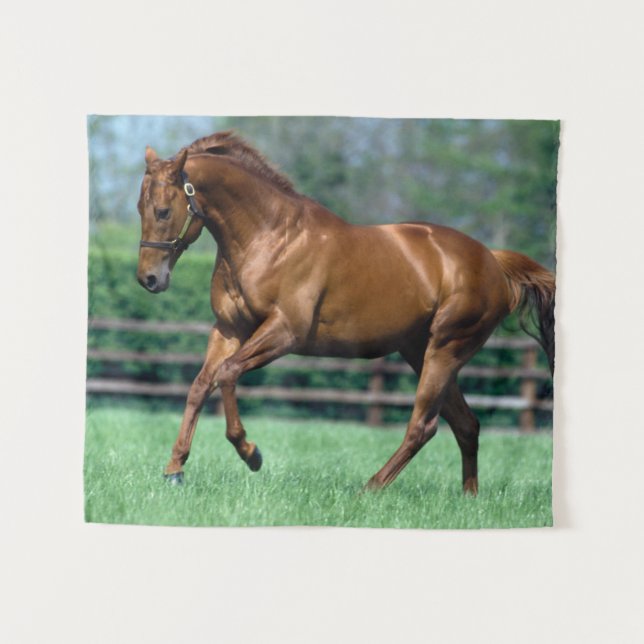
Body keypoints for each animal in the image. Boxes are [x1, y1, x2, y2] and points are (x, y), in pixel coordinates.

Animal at [136, 131, 555, 494]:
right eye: (140, 208)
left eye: (163, 211)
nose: (149, 279)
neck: (268, 237)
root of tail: (493, 262)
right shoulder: (229, 329)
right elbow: (199, 385)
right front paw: (174, 469)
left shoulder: (284, 333)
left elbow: (227, 373)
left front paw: (250, 453)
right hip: (420, 351)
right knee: (466, 424)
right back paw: (468, 498)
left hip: (445, 351)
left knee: (424, 426)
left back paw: (371, 488)